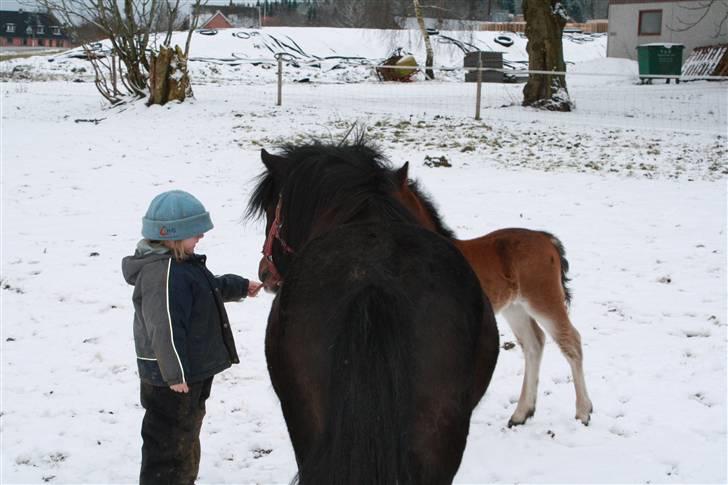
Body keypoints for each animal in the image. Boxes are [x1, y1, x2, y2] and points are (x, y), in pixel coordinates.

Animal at [392, 162, 593, 427]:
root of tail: (546, 239)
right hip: (515, 308)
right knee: (534, 344)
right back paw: (521, 413)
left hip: (543, 300)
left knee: (571, 341)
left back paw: (583, 412)